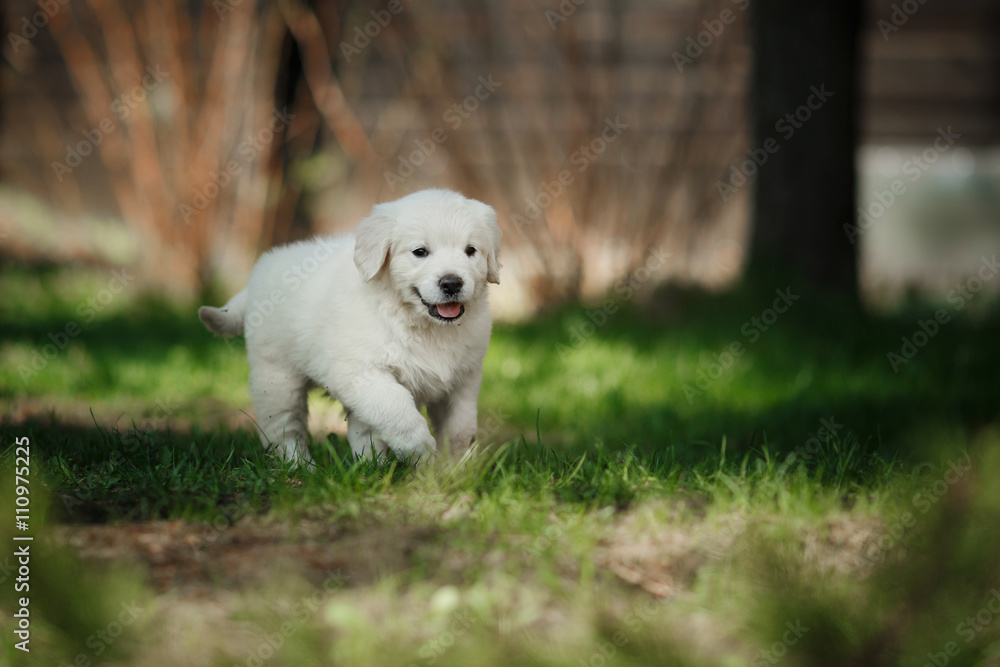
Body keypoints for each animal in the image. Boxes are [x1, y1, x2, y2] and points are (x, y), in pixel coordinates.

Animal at [197, 189, 500, 470]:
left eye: (470, 250)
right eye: (420, 252)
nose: (452, 283)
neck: (419, 322)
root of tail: (254, 280)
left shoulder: (464, 377)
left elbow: (460, 427)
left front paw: (452, 470)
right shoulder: (362, 373)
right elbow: (398, 409)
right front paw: (422, 453)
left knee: (360, 429)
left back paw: (370, 466)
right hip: (275, 378)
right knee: (284, 429)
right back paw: (302, 468)